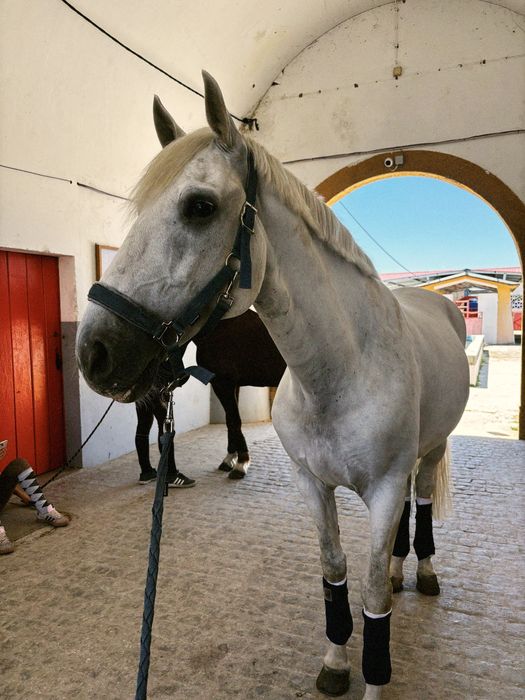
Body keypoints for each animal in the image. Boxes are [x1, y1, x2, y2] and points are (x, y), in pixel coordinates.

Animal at [137, 309, 285, 479]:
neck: (216, 328)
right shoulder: (232, 385)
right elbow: (230, 420)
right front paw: (229, 459)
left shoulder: (222, 383)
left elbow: (234, 420)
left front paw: (241, 464)